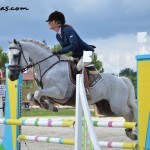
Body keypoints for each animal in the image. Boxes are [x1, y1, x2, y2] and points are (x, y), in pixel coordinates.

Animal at [7, 38, 138, 139]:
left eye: (15, 55)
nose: (11, 76)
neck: (49, 67)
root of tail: (121, 79)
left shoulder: (59, 93)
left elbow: (38, 94)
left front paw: (48, 106)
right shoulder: (51, 94)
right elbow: (31, 95)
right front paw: (49, 106)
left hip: (117, 106)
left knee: (130, 111)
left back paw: (134, 131)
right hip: (106, 109)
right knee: (126, 114)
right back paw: (130, 133)